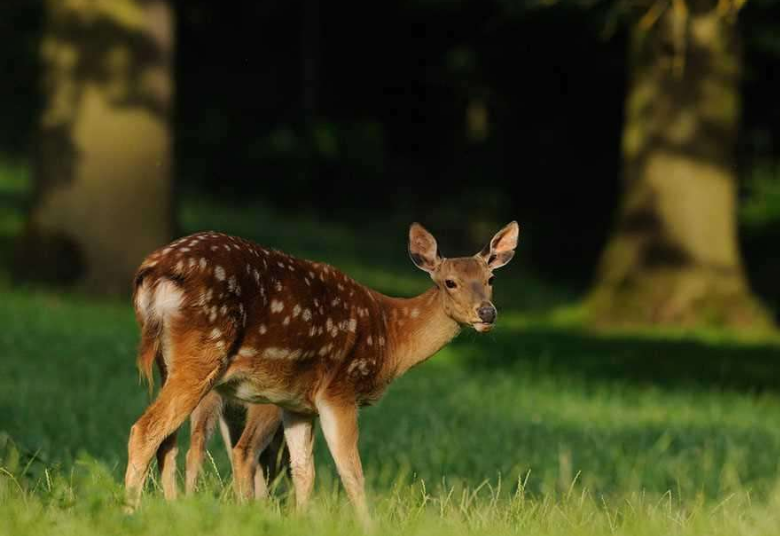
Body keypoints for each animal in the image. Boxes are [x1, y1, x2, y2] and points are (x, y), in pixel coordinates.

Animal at [125, 219, 520, 528]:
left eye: (490, 278)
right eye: (449, 282)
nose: (487, 313)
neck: (390, 337)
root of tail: (153, 272)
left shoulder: (298, 404)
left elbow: (304, 470)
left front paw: (300, 521)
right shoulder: (340, 390)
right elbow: (351, 472)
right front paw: (367, 525)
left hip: (170, 363)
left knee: (170, 441)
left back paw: (170, 508)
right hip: (202, 353)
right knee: (147, 431)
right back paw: (132, 510)